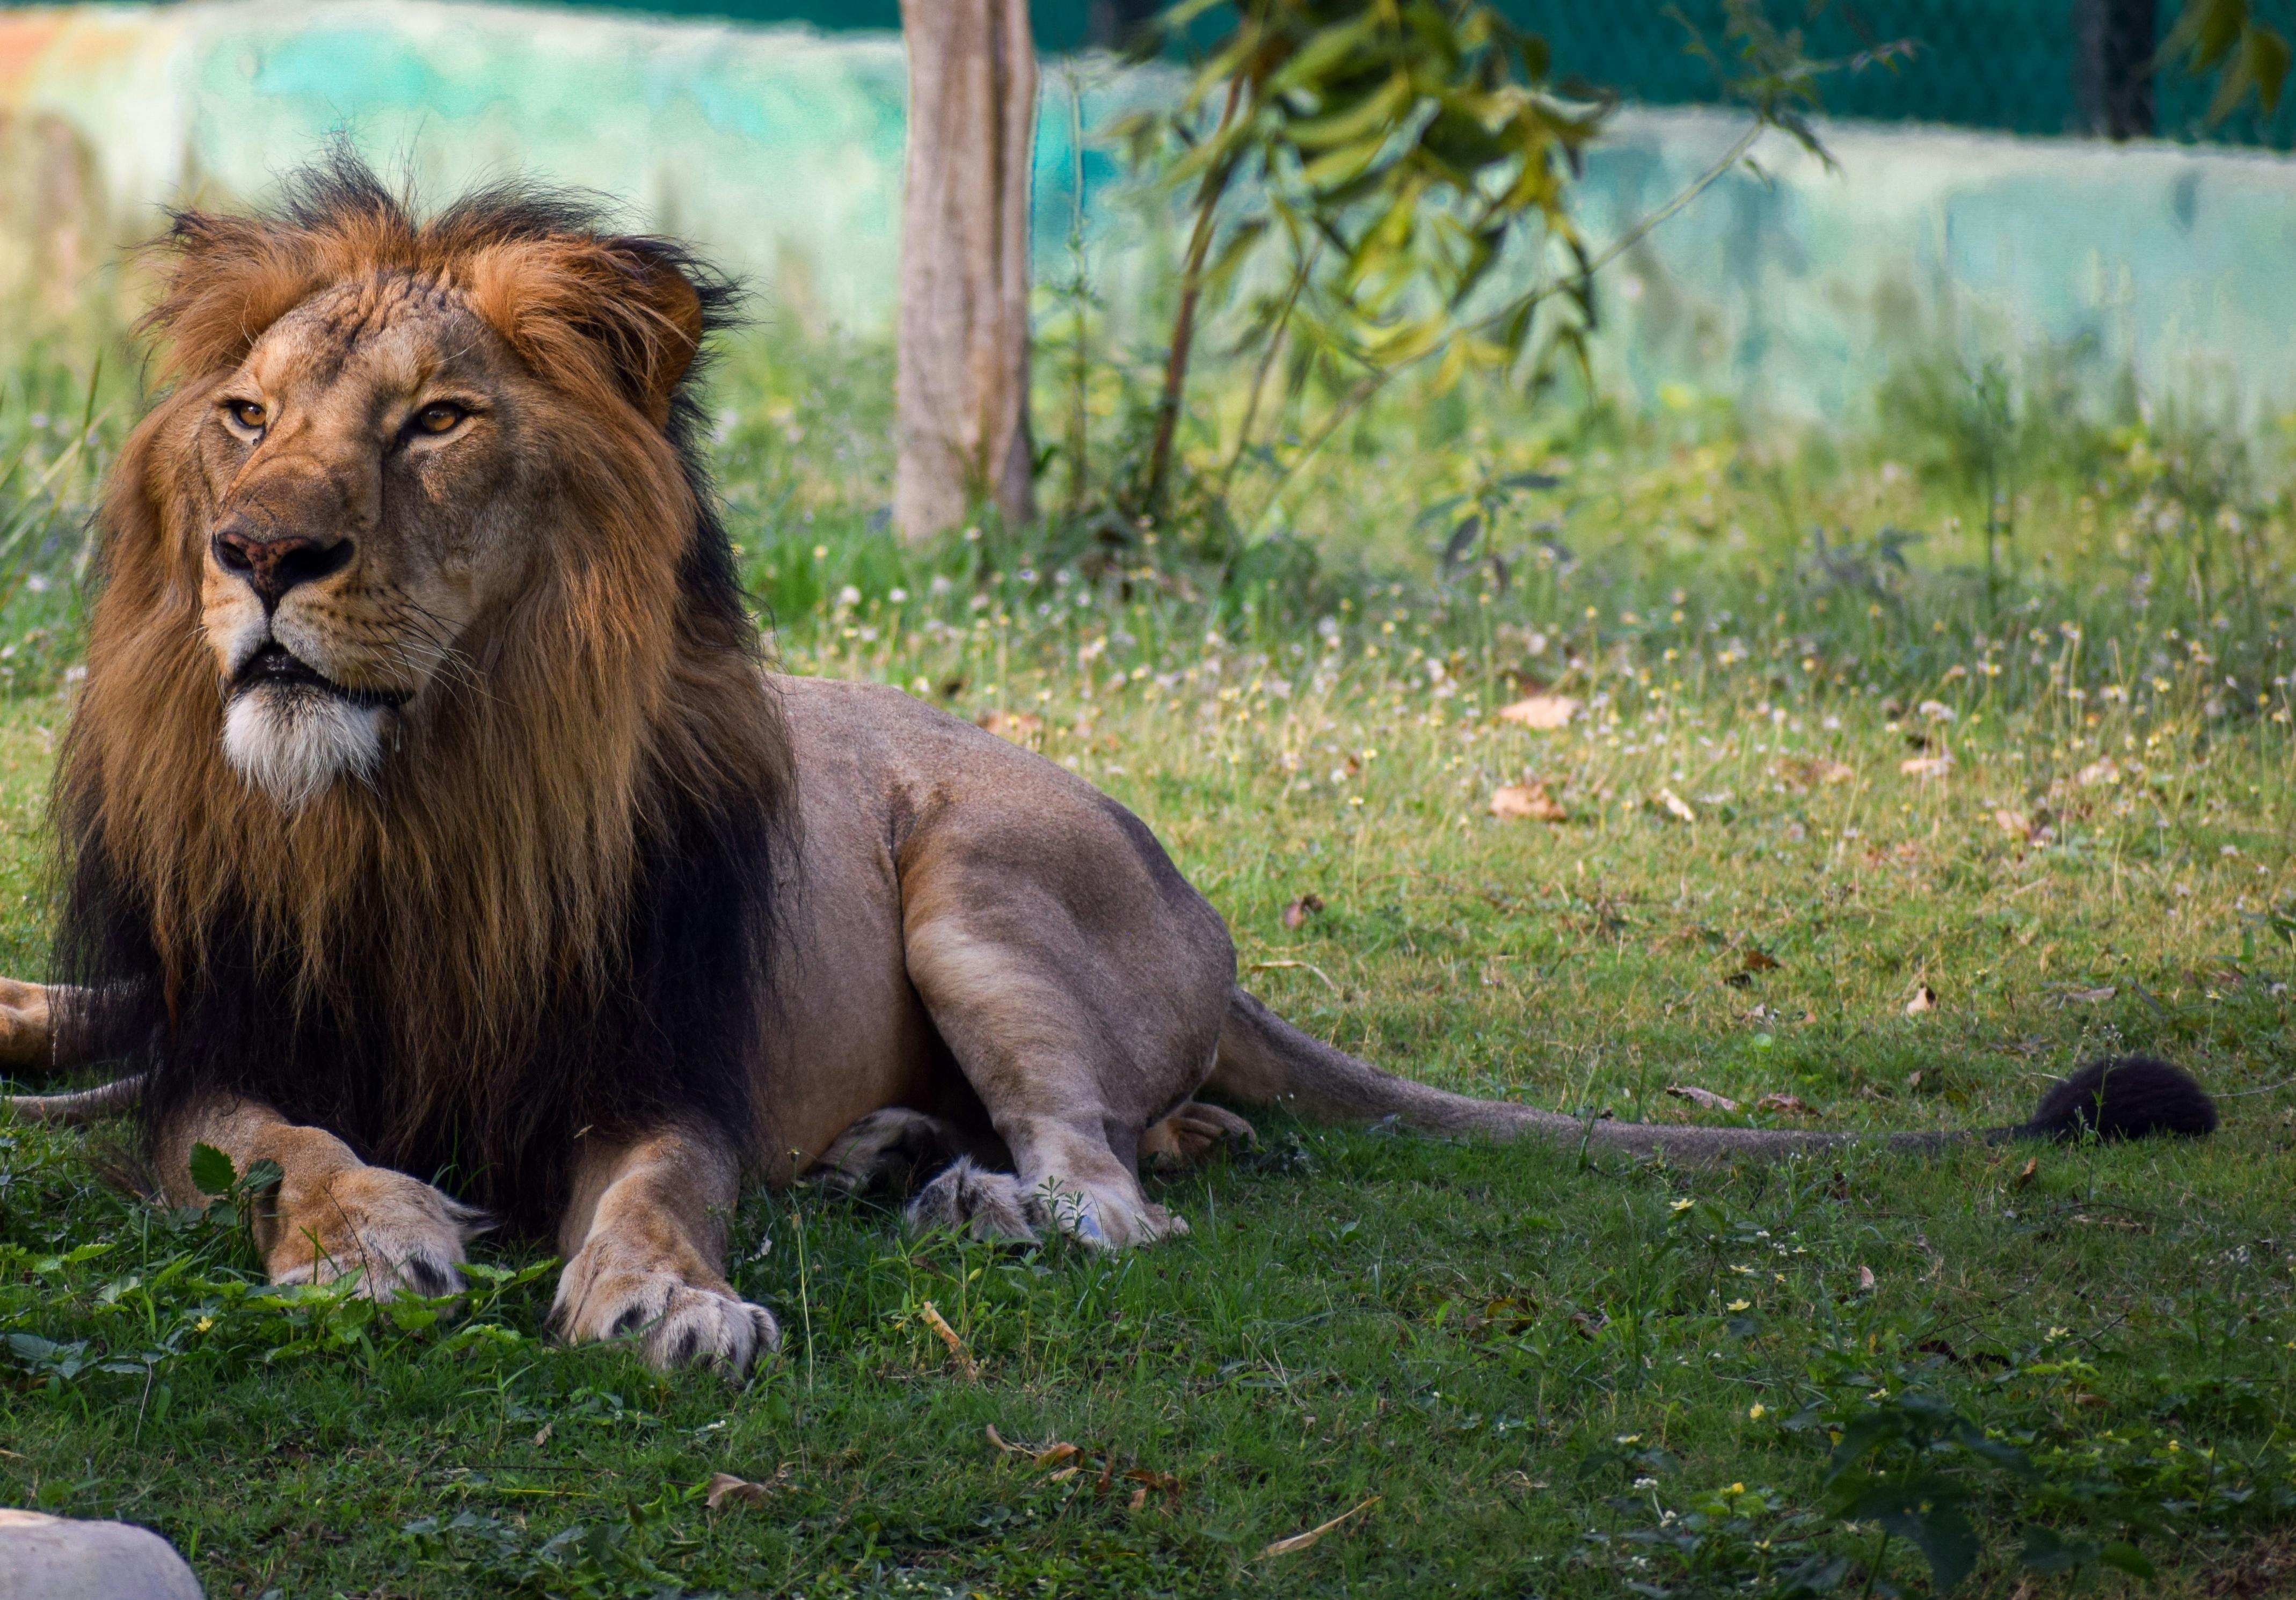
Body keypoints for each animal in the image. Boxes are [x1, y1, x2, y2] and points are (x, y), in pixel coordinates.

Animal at [0, 159, 2222, 1377]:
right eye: (244, 414)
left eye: (441, 420)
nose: (258, 556)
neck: (423, 799)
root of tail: (1207, 918)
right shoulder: (205, 1051)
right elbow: (273, 1143)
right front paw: (369, 1232)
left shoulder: (655, 1066)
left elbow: (649, 1203)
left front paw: (670, 1304)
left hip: (980, 890)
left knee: (1107, 1188)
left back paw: (968, 1197)